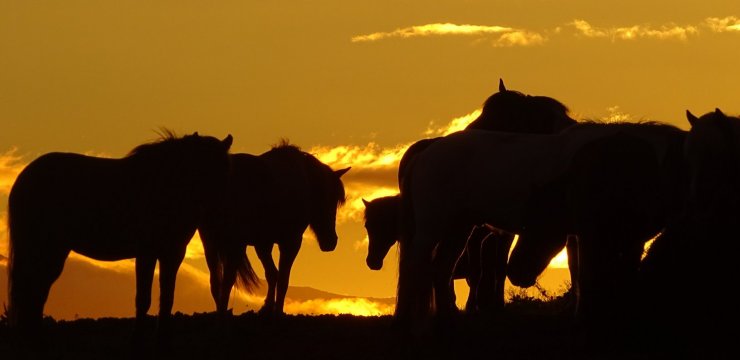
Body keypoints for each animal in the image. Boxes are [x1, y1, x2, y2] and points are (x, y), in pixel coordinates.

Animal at [7, 131, 233, 338]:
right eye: (205, 168)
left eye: (226, 169)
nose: (221, 209)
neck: (164, 187)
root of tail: (24, 178)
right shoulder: (146, 253)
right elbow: (143, 298)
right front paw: (139, 335)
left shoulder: (172, 254)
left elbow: (167, 297)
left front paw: (163, 335)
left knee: (38, 288)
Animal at [198, 142, 352, 316]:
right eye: (330, 199)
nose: (331, 241)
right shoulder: (291, 242)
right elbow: (283, 278)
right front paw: (277, 310)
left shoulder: (263, 243)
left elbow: (272, 274)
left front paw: (267, 307)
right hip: (234, 243)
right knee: (226, 280)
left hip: (210, 242)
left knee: (216, 281)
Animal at [396, 119, 692, 334]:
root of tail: (428, 151)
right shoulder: (587, 232)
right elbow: (584, 271)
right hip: (432, 227)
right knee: (416, 265)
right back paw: (406, 323)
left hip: (460, 226)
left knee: (441, 268)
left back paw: (446, 322)